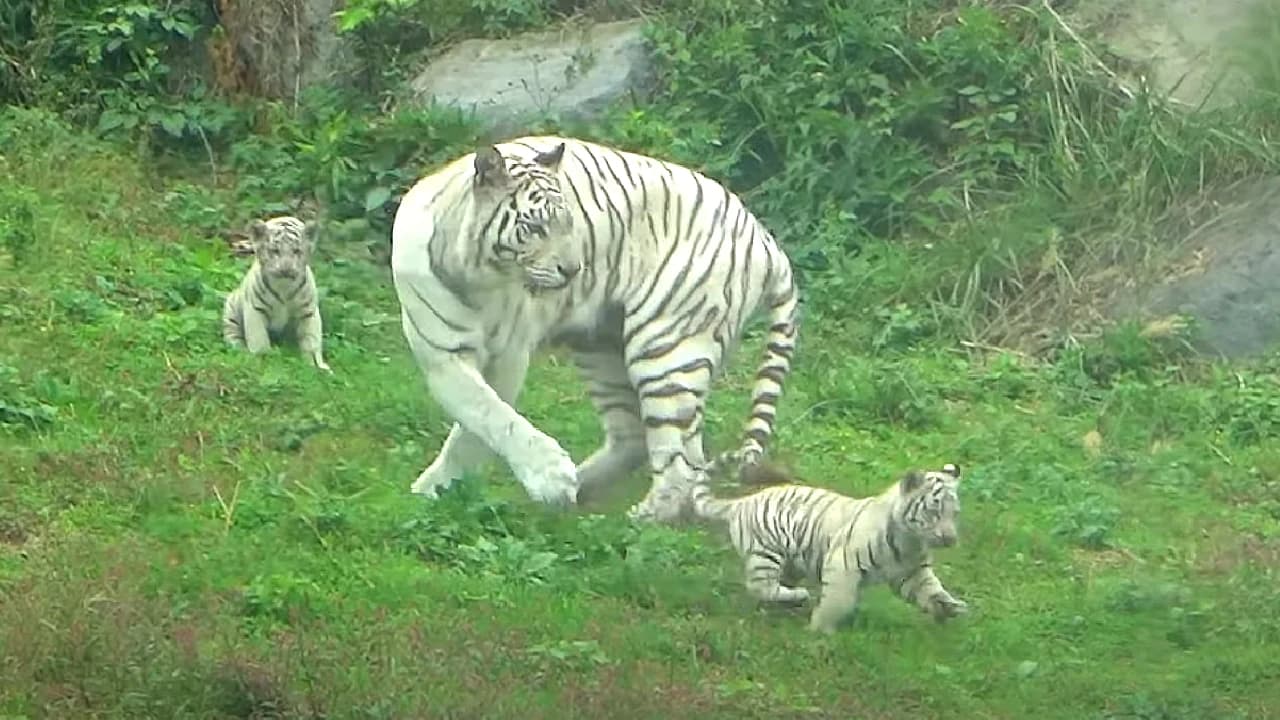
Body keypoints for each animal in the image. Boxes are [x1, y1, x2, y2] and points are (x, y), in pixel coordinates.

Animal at [389, 134, 793, 517]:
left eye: (569, 223)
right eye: (535, 227)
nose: (573, 270)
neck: (477, 277)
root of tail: (766, 240)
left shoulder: (508, 354)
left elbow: (486, 419)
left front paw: (545, 478)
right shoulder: (442, 355)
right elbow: (481, 411)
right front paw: (436, 491)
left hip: (665, 347)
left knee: (681, 459)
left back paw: (643, 517)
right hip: (601, 347)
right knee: (640, 439)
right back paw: (577, 491)